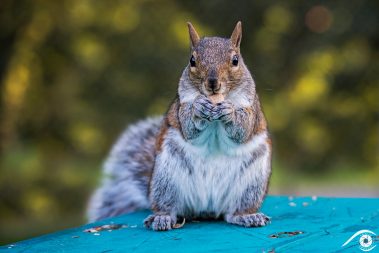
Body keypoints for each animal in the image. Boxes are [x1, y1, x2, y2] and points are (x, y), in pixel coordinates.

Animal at [88, 22, 274, 231]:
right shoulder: (181, 105)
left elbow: (244, 129)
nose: (212, 83)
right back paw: (162, 218)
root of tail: (207, 209)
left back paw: (247, 216)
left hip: (251, 186)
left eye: (235, 60)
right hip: (166, 180)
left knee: (233, 212)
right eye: (192, 60)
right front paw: (198, 108)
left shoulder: (251, 108)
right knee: (169, 207)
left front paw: (229, 111)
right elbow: (187, 125)